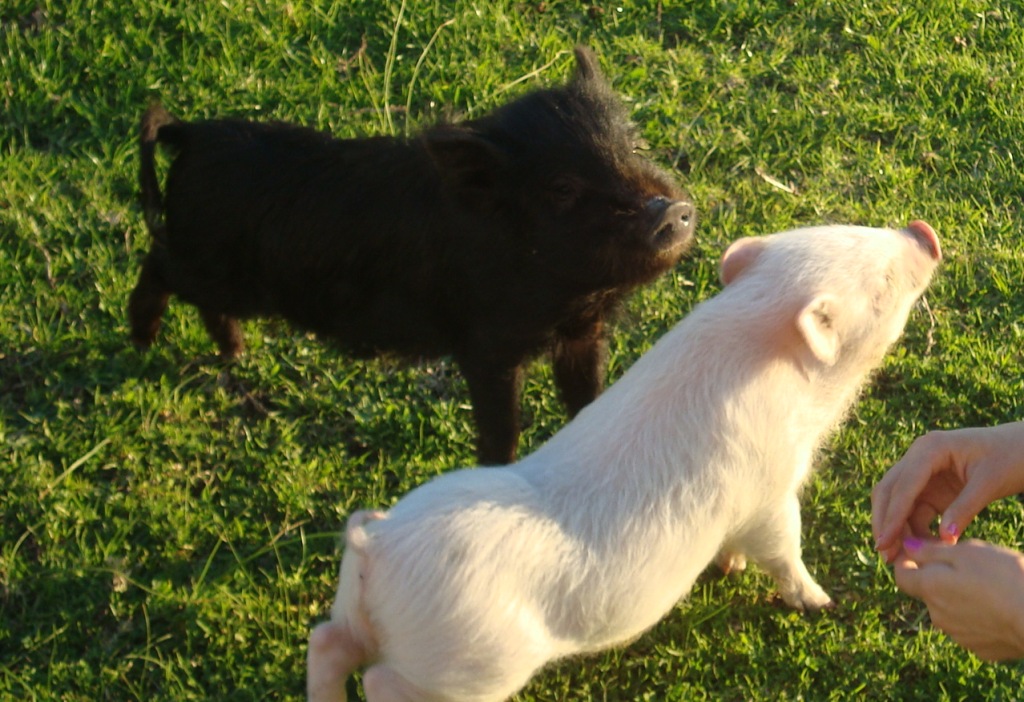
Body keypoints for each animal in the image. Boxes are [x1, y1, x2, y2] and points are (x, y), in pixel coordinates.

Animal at [129, 47, 696, 465]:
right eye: (562, 186)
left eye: (634, 147)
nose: (671, 209)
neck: (569, 293)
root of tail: (191, 133)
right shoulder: (486, 345)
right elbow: (502, 430)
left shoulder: (583, 334)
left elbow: (588, 400)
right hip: (208, 263)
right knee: (156, 263)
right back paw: (144, 342)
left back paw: (234, 353)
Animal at [306, 221, 942, 701]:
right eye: (883, 284)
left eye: (850, 227)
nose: (921, 229)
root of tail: (379, 548)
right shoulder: (768, 489)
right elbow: (784, 548)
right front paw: (820, 601)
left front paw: (730, 567)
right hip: (467, 664)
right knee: (380, 680)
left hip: (356, 613)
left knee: (324, 643)